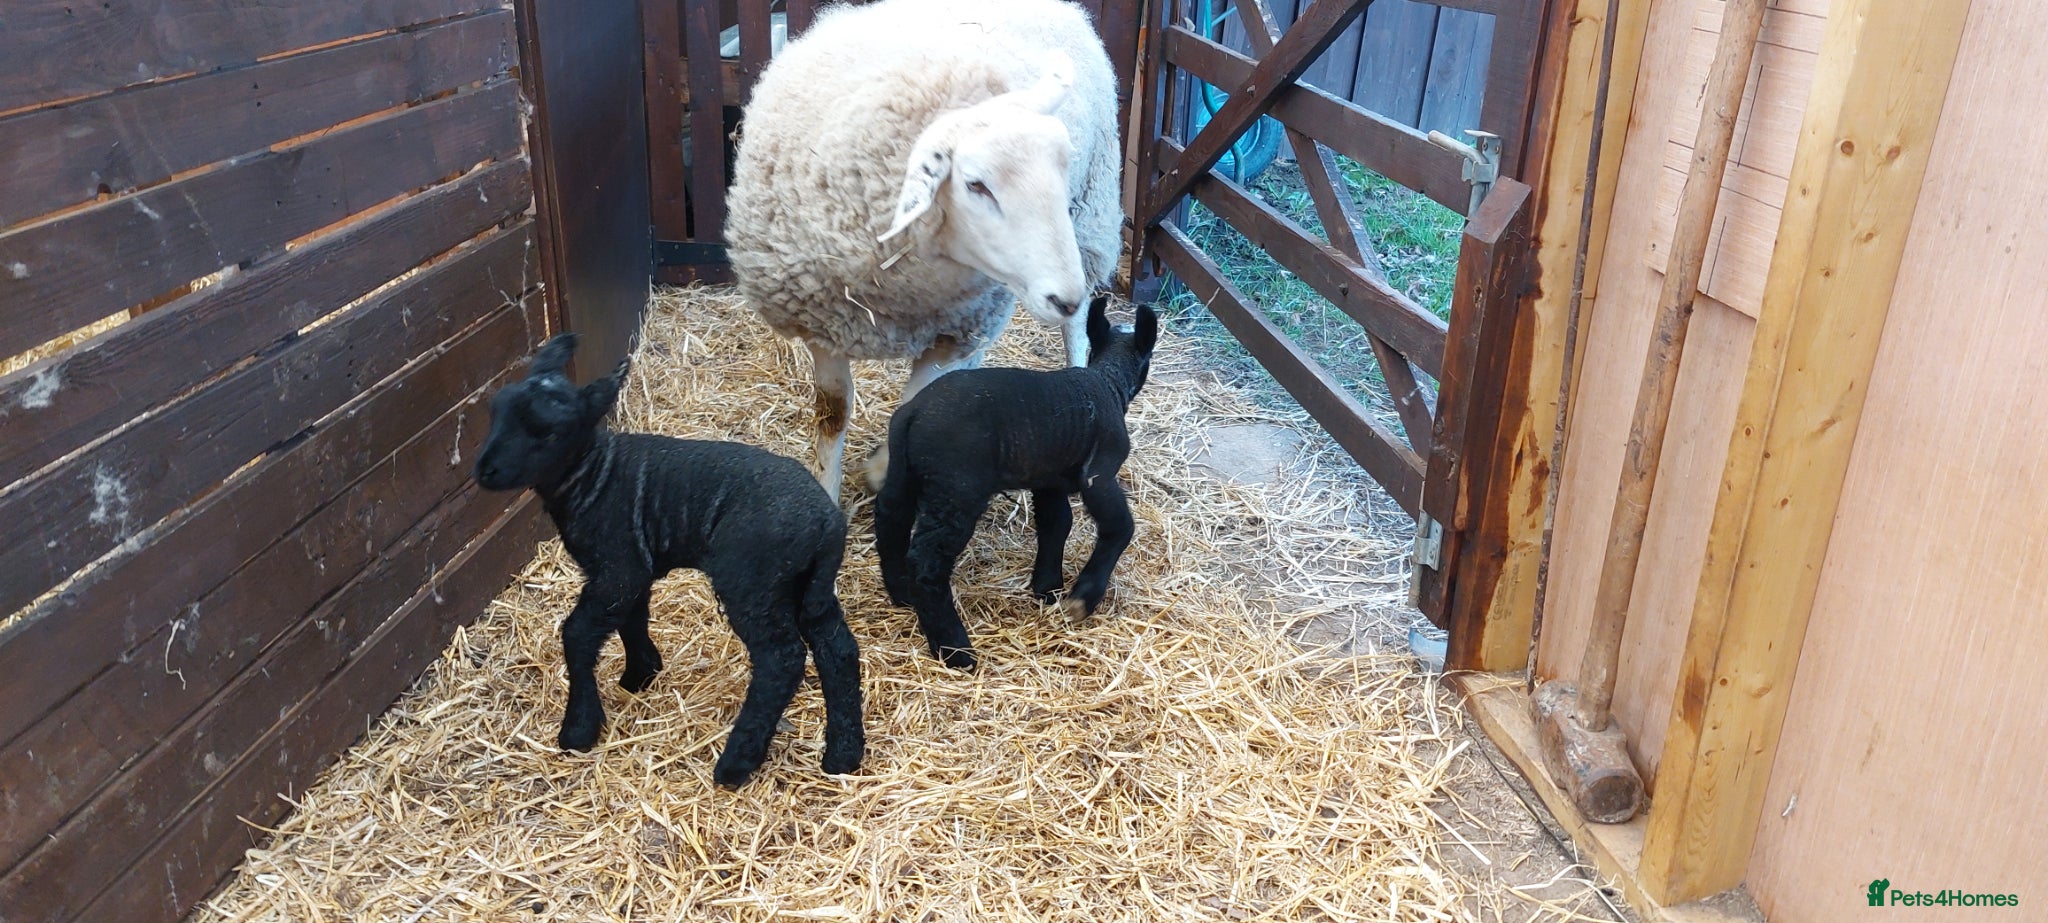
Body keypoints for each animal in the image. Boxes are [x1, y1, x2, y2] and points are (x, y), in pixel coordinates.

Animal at [472, 333, 864, 787]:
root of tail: (829, 522)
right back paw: (844, 755)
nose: (484, 470)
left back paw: (736, 763)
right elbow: (633, 618)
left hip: (754, 581)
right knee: (837, 649)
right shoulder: (632, 568)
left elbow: (578, 635)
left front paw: (579, 729)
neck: (593, 475)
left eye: (548, 432)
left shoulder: (617, 568)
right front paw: (640, 673)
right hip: (807, 585)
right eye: (496, 411)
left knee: (781, 659)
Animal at [725, 0, 1125, 502]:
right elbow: (832, 415)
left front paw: (882, 472)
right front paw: (829, 494)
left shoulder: (951, 333)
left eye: (1062, 164)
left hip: (1088, 219)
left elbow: (913, 410)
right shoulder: (821, 325)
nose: (1061, 296)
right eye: (976, 184)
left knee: (1076, 328)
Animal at [872, 295, 1157, 670]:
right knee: (927, 560)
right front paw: (1082, 598)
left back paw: (901, 593)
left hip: (904, 471)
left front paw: (1046, 586)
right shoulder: (1099, 472)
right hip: (957, 488)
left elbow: (1056, 524)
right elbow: (1119, 527)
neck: (1108, 381)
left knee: (890, 517)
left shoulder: (1049, 478)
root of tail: (914, 414)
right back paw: (954, 649)